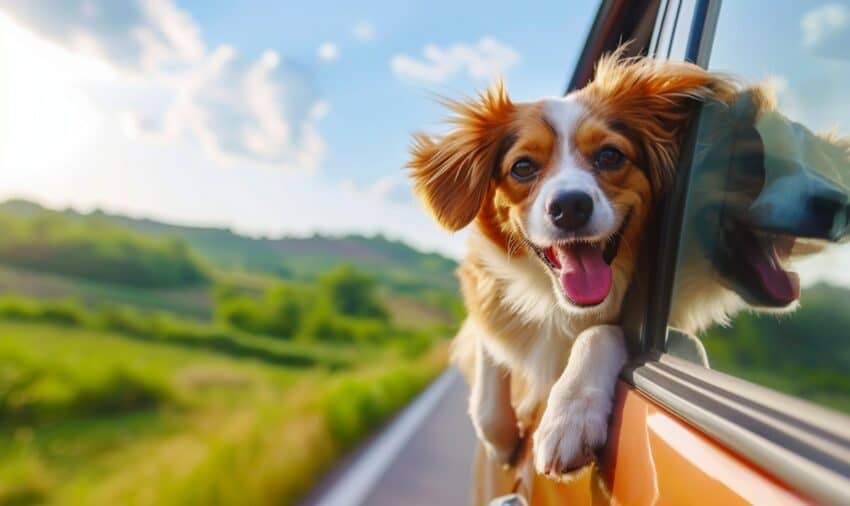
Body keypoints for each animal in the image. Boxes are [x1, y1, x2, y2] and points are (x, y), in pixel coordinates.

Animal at [404, 52, 736, 482]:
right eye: (522, 167)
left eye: (610, 156)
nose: (571, 206)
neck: (556, 301)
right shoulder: (484, 287)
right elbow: (489, 361)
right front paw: (503, 440)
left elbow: (599, 333)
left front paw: (569, 418)